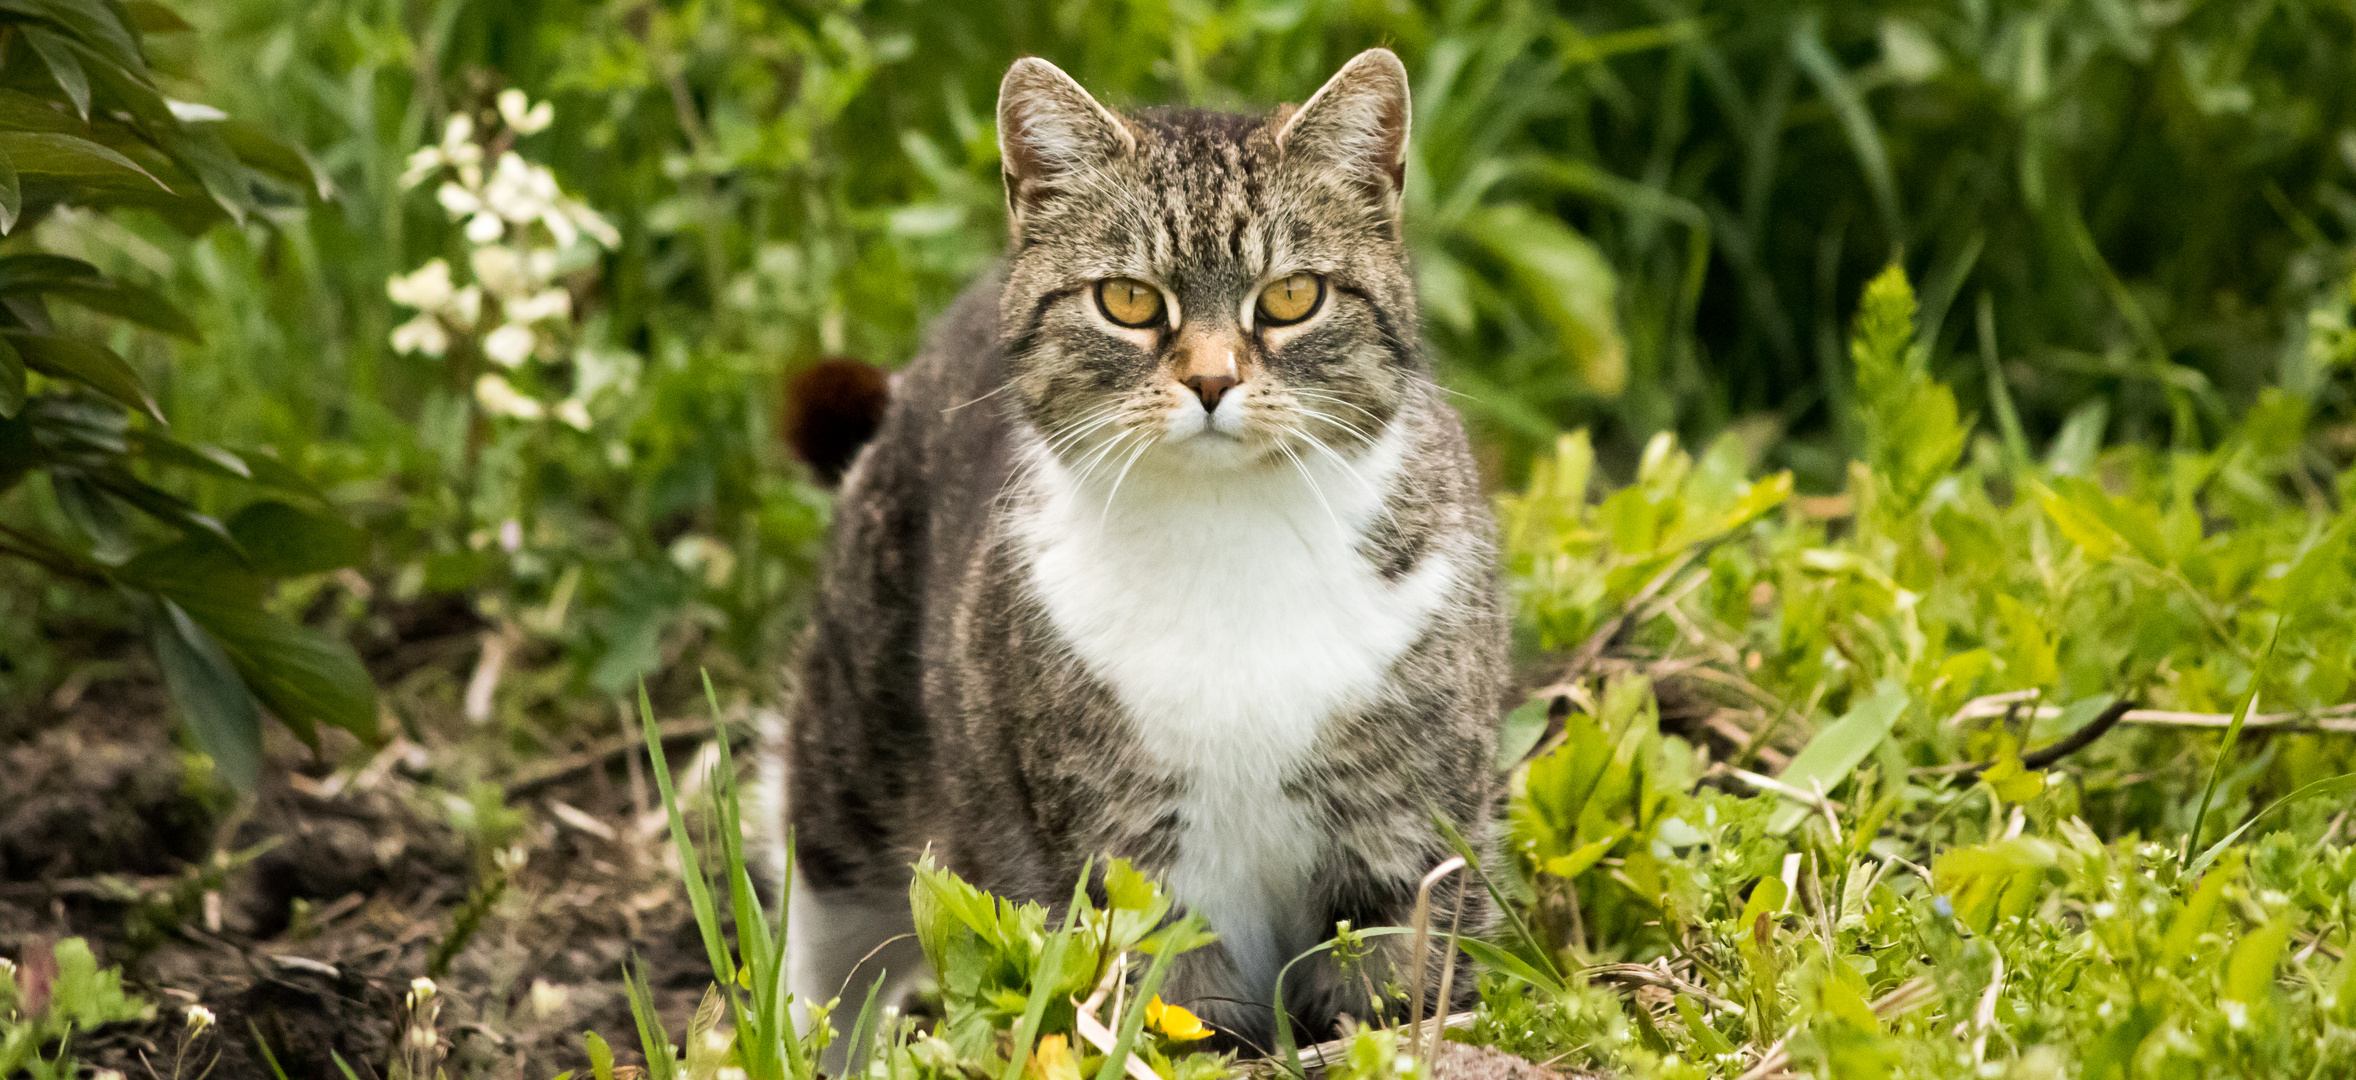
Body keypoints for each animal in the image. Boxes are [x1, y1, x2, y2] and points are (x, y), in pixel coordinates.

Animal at [772, 48, 1507, 1056]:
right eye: (1128, 300)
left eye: (1292, 296)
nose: (1211, 380)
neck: (1229, 532)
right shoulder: (1127, 855)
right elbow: (1174, 1005)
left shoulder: (1406, 830)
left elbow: (1399, 983)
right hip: (855, 742)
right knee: (827, 936)